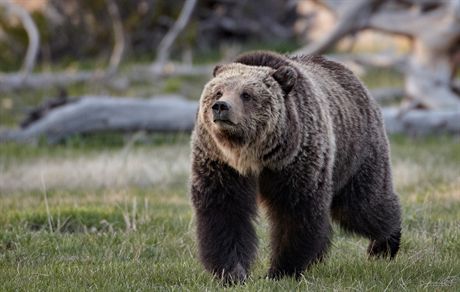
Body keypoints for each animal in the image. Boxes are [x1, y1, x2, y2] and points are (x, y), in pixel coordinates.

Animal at [189, 50, 400, 282]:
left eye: (246, 94)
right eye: (218, 91)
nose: (221, 107)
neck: (252, 155)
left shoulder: (295, 161)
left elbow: (295, 211)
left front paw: (281, 271)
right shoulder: (220, 164)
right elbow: (225, 211)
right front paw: (232, 272)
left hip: (356, 153)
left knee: (362, 205)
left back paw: (384, 245)